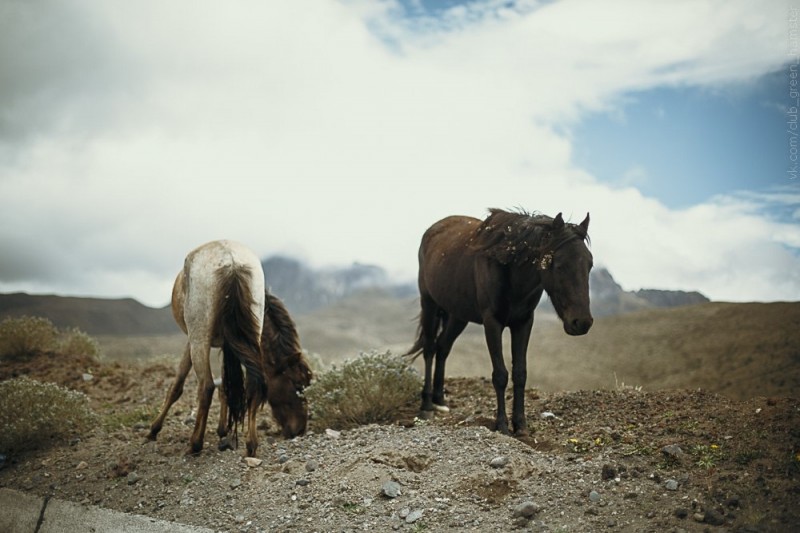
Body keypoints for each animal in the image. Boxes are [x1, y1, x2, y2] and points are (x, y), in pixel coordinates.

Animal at [147, 239, 312, 456]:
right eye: (297, 384)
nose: (300, 429)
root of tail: (232, 262)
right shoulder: (230, 345)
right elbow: (226, 385)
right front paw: (223, 429)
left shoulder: (192, 341)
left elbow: (178, 385)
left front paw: (154, 429)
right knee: (252, 385)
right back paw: (251, 444)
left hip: (199, 338)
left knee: (206, 386)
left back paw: (195, 443)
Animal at [406, 207, 592, 432]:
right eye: (559, 265)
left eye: (590, 265)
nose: (582, 322)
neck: (508, 265)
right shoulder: (492, 323)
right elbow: (500, 374)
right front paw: (502, 424)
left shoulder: (523, 323)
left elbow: (520, 373)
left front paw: (520, 425)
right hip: (429, 304)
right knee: (430, 348)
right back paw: (426, 405)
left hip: (458, 315)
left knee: (443, 347)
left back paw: (439, 400)